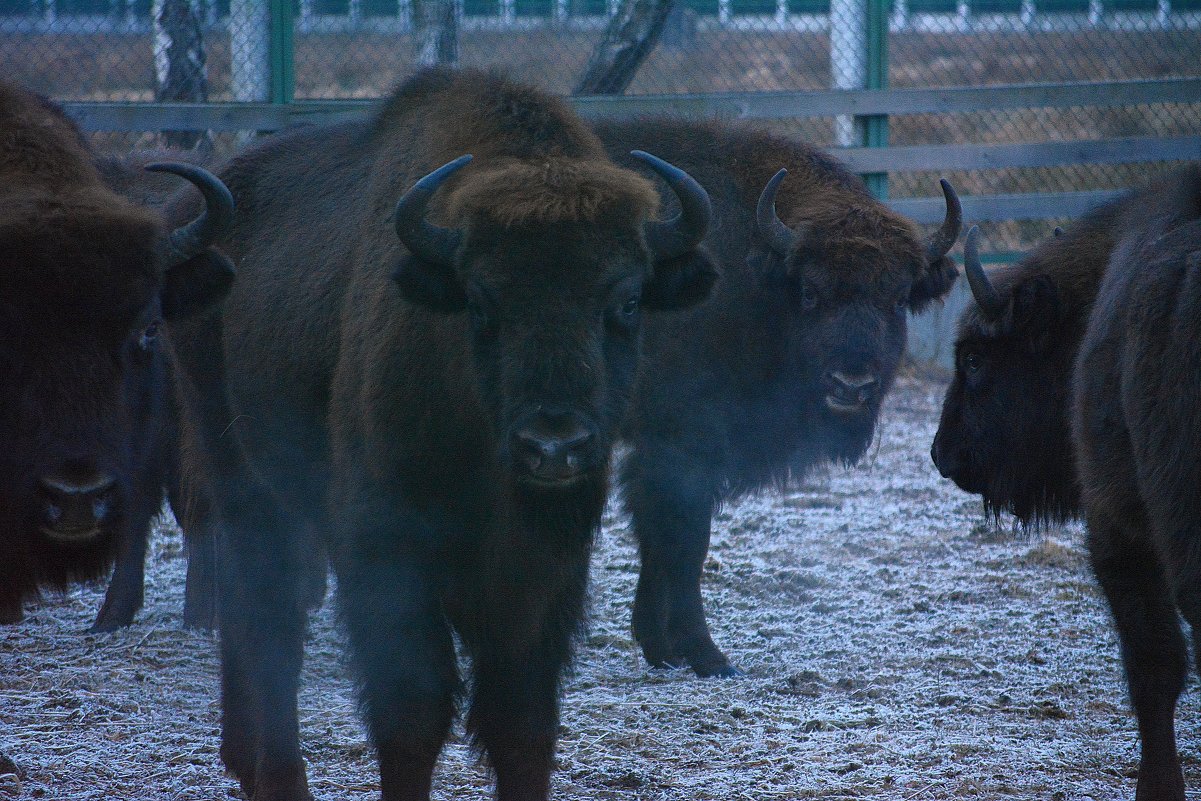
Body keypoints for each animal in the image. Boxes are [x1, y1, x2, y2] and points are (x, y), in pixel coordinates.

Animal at [168, 69, 710, 801]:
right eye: (481, 301)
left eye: (625, 301)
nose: (553, 446)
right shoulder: (385, 552)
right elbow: (413, 711)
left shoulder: (543, 576)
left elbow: (520, 722)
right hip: (244, 477)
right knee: (265, 615)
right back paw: (276, 775)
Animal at [593, 118, 965, 677]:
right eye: (810, 291)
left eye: (899, 298)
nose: (851, 385)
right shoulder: (679, 446)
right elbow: (683, 541)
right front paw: (707, 655)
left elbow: (660, 541)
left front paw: (661, 648)